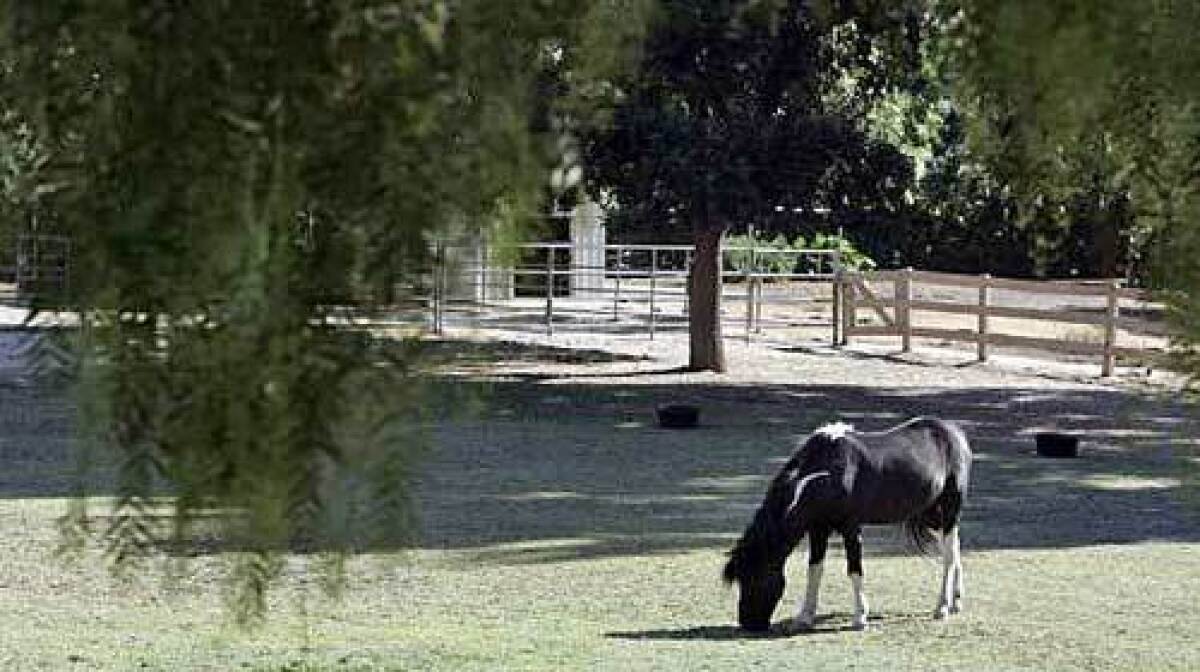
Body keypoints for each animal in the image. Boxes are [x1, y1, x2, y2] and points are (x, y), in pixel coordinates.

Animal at [715, 417, 969, 633]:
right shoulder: (818, 530)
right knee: (955, 549)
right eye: (741, 578)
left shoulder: (851, 528)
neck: (830, 473)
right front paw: (804, 617)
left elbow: (854, 569)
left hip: (949, 508)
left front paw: (860, 618)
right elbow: (814, 570)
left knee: (948, 557)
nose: (748, 623)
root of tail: (953, 432)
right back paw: (956, 601)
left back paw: (942, 607)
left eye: (756, 577)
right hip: (932, 515)